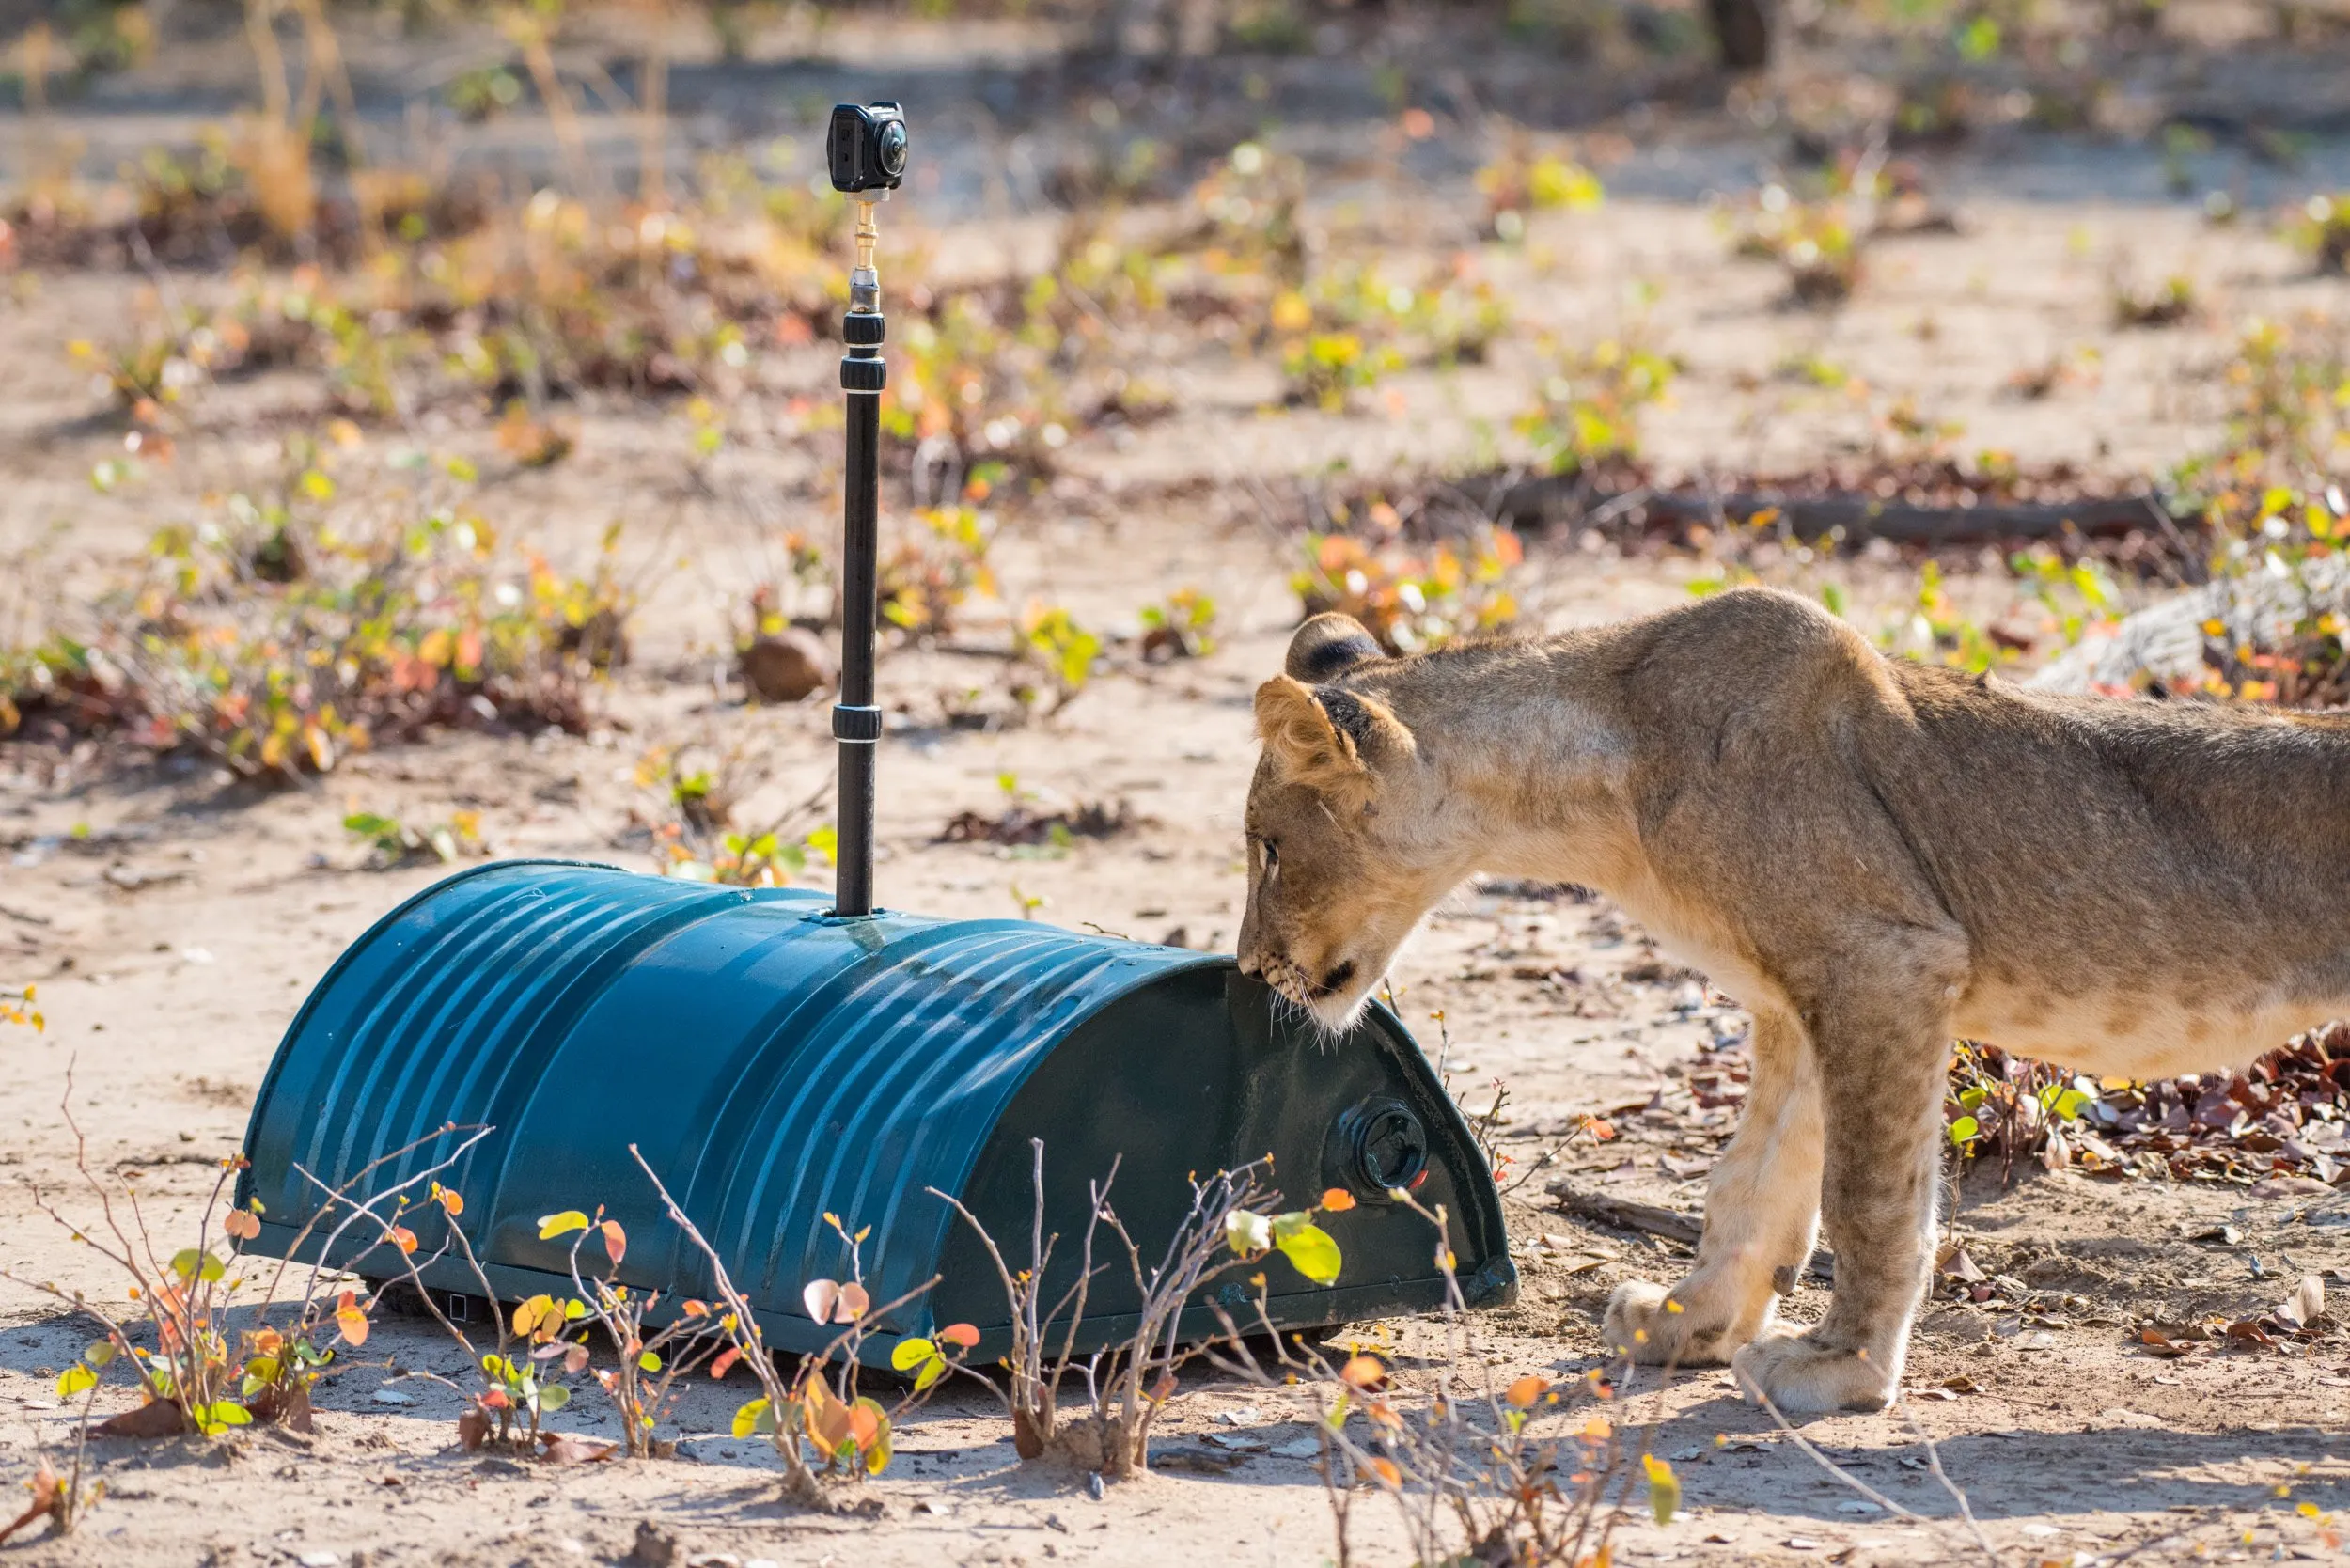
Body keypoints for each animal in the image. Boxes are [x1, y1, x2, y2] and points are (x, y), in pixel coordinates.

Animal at [1238, 586, 2350, 1413]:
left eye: (1268, 847)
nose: (1248, 967)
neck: (1595, 790)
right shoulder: (1795, 1002)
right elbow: (1752, 1187)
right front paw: (1688, 1327)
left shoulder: (1883, 962)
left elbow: (1867, 1195)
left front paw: (1841, 1370)